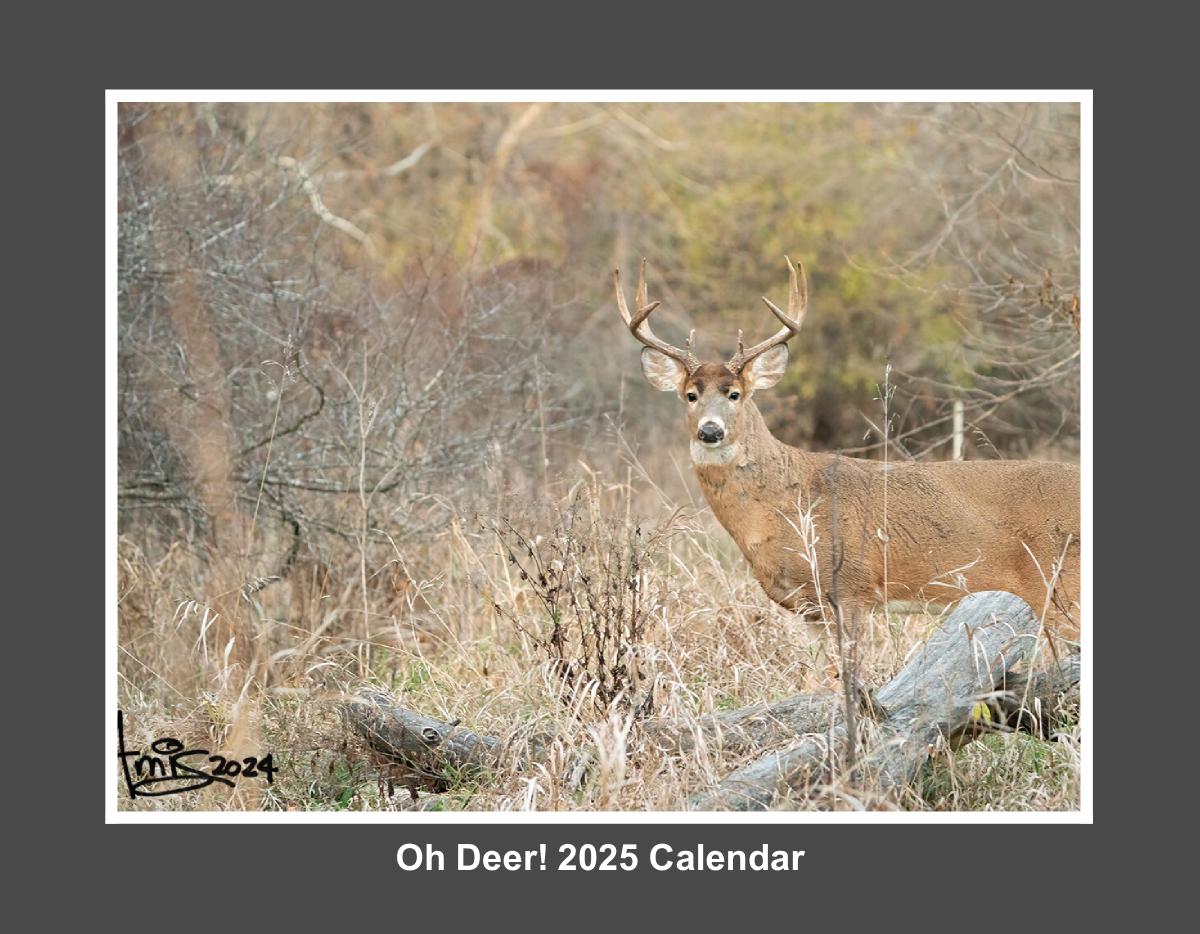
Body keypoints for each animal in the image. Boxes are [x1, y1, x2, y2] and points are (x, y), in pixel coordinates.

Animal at [614, 257, 1080, 658]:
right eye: (690, 395)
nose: (710, 431)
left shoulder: (852, 586)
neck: (787, 504)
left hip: (1063, 588)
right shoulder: (809, 608)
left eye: (735, 394)